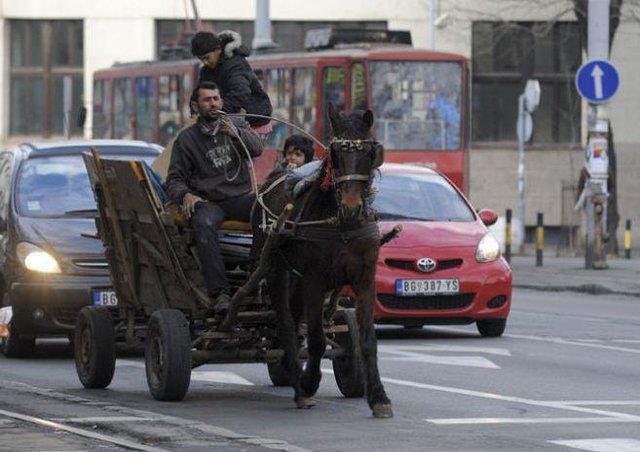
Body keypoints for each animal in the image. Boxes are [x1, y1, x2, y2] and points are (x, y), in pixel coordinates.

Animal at [252, 104, 392, 418]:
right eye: (336, 154)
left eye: (369, 152)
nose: (352, 207)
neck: (341, 224)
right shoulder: (315, 280)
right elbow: (316, 339)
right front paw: (309, 382)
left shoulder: (365, 280)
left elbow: (368, 340)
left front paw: (378, 397)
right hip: (277, 270)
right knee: (286, 322)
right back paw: (297, 382)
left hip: (297, 280)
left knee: (294, 319)